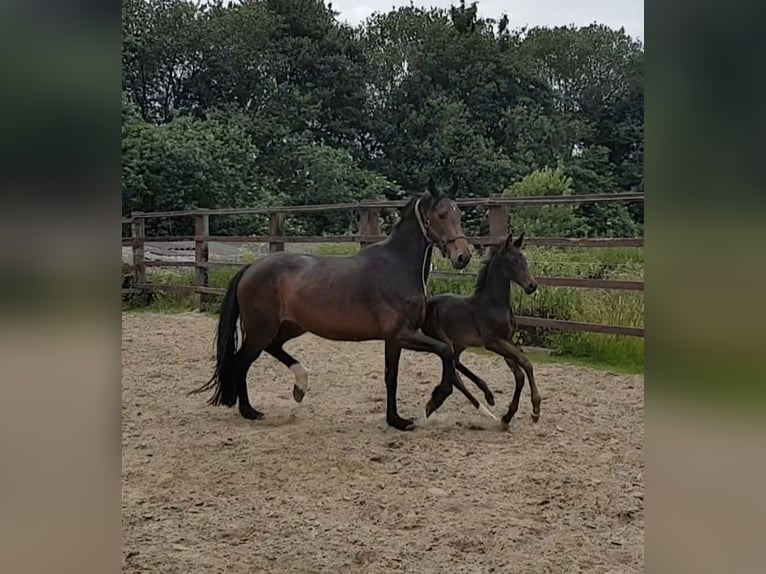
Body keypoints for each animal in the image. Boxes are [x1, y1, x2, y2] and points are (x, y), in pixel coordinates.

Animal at [424, 232, 544, 430]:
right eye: (513, 260)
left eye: (525, 259)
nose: (532, 286)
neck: (494, 304)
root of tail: (427, 304)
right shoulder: (493, 342)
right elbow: (526, 363)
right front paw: (535, 410)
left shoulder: (507, 340)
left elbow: (519, 374)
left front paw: (507, 417)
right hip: (446, 341)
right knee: (454, 371)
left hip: (459, 344)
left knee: (456, 365)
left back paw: (487, 396)